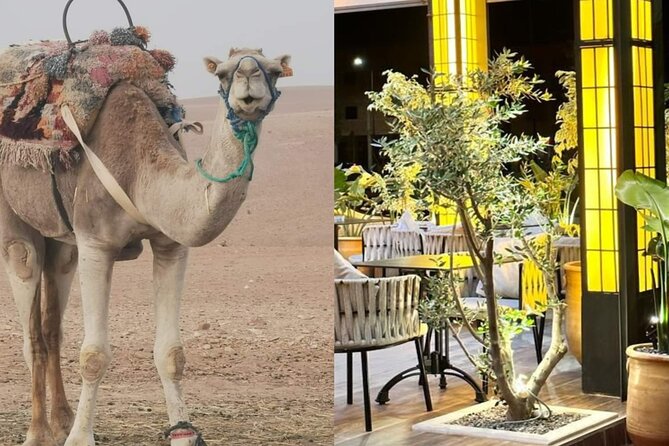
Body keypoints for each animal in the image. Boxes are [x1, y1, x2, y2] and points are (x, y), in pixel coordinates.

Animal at [0, 47, 290, 446]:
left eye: (275, 71)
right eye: (222, 73)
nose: (249, 80)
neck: (140, 172)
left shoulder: (171, 246)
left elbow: (172, 354)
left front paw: (182, 432)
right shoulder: (95, 243)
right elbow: (93, 356)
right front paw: (80, 438)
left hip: (62, 242)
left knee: (51, 324)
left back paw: (61, 420)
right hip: (16, 224)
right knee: (30, 318)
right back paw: (38, 432)